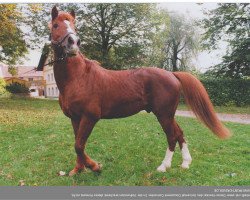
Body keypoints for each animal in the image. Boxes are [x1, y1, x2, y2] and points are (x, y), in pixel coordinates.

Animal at [48, 6, 230, 176]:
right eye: (55, 25)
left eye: (74, 25)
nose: (73, 43)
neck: (79, 77)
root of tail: (172, 74)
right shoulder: (75, 118)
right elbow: (78, 144)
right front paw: (78, 169)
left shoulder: (90, 117)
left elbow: (79, 145)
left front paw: (95, 167)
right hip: (168, 115)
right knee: (179, 133)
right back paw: (185, 163)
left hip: (164, 114)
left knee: (171, 136)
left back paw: (164, 166)